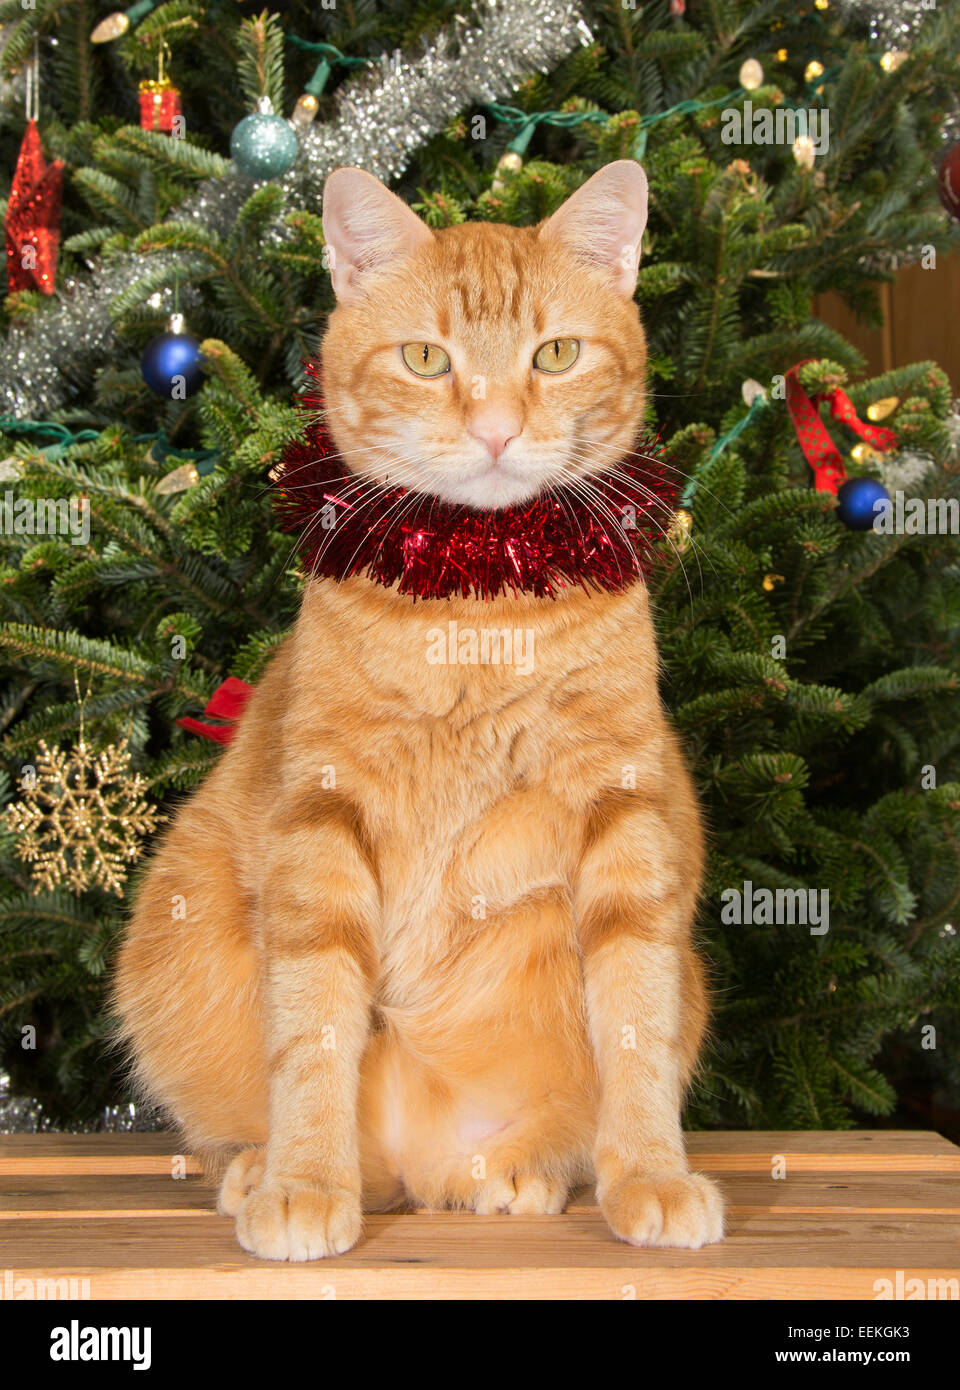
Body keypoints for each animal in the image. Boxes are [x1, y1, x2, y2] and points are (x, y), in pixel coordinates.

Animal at [112, 159, 722, 1262]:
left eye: (555, 354)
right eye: (427, 359)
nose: (495, 427)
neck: (477, 604)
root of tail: (414, 1166)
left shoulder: (627, 813)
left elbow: (635, 1018)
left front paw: (651, 1173)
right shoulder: (320, 815)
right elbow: (310, 1023)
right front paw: (308, 1181)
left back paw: (524, 1171)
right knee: (245, 1122)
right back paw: (267, 1168)